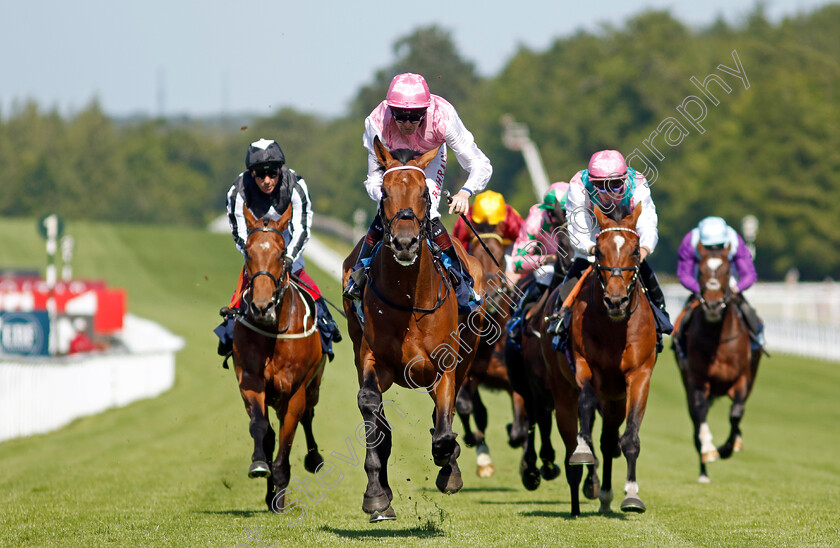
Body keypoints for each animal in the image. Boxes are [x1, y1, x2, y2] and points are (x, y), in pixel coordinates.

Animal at [231, 203, 326, 512]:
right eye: (248, 252)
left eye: (282, 253)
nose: (262, 306)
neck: (273, 331)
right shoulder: (250, 379)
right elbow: (261, 427)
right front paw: (261, 466)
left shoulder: (295, 390)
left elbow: (288, 436)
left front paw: (280, 490)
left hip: (313, 386)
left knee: (307, 417)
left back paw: (313, 459)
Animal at [342, 137, 486, 524]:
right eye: (384, 192)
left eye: (424, 193)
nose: (404, 243)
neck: (409, 298)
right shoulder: (372, 358)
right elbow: (369, 407)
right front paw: (376, 496)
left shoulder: (446, 364)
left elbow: (445, 422)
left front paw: (448, 466)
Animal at [556, 202, 656, 512]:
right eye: (599, 251)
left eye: (635, 251)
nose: (616, 301)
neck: (615, 329)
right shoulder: (584, 364)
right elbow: (586, 405)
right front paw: (582, 449)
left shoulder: (639, 375)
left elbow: (630, 437)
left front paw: (632, 494)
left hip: (616, 399)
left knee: (610, 439)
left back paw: (607, 493)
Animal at [676, 242, 760, 482]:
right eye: (702, 272)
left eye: (727, 271)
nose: (713, 305)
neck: (718, 339)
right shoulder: (697, 379)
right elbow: (700, 412)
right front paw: (710, 449)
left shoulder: (742, 378)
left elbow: (736, 413)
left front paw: (727, 448)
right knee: (696, 420)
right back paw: (704, 470)